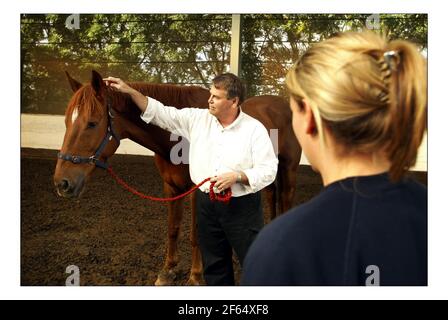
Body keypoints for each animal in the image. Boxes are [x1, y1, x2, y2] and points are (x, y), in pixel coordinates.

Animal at [54, 70, 302, 284]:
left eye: (92, 123)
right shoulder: (171, 187)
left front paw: (195, 276)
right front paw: (167, 271)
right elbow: (173, 228)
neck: (177, 138)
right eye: (66, 121)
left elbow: (195, 234)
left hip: (288, 169)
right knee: (271, 196)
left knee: (286, 199)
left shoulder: (197, 189)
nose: (62, 183)